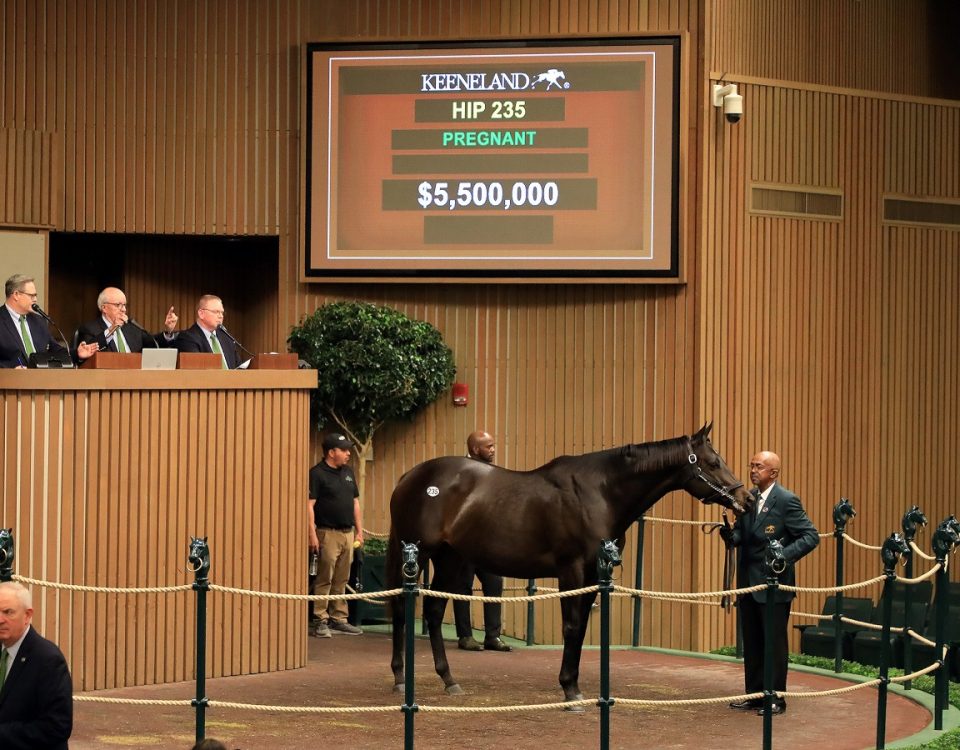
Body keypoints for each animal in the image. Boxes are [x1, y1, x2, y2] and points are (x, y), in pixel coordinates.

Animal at [386, 426, 752, 708]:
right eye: (714, 462)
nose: (746, 499)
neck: (599, 492)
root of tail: (408, 477)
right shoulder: (571, 570)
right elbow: (572, 626)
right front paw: (570, 689)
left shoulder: (594, 574)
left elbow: (582, 628)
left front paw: (572, 684)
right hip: (417, 555)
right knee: (402, 611)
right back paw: (401, 677)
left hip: (449, 559)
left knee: (433, 613)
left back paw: (448, 679)